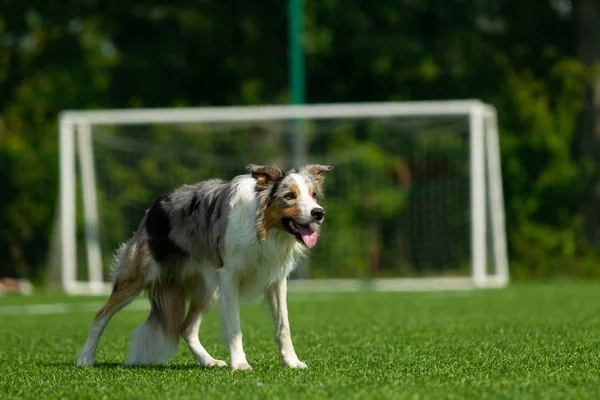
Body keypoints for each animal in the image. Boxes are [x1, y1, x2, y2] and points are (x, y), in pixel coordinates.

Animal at [75, 164, 332, 370]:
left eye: (314, 195)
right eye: (289, 196)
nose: (319, 213)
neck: (263, 228)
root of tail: (153, 208)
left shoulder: (275, 280)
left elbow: (283, 325)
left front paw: (292, 362)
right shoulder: (229, 277)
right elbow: (234, 326)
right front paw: (240, 364)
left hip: (209, 288)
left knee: (185, 328)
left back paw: (210, 362)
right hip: (138, 277)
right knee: (101, 315)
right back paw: (84, 358)